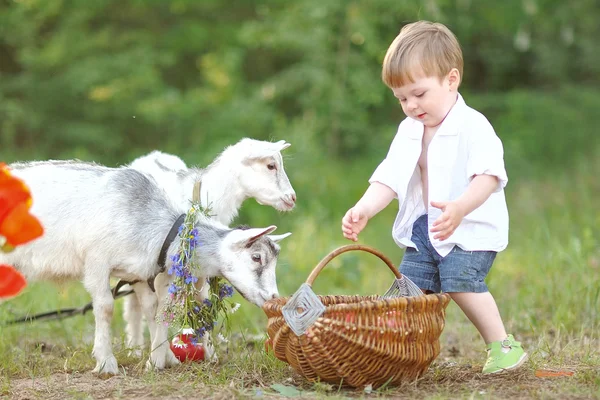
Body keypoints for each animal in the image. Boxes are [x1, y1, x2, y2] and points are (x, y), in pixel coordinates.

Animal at [0, 161, 290, 374]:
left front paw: (162, 358)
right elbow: (105, 307)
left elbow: (155, 310)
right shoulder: (96, 262)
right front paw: (106, 363)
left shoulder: (138, 272)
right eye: (257, 257)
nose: (274, 298)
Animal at [125, 138, 298, 356]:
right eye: (271, 165)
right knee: (132, 305)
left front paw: (208, 351)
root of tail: (153, 154)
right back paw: (135, 347)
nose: (292, 198)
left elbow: (201, 299)